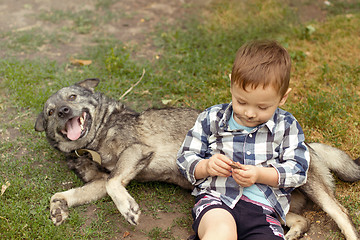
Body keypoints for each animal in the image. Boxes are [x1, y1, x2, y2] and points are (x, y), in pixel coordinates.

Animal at [34, 79, 360, 240]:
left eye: (73, 98)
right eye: (50, 112)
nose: (63, 112)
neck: (92, 143)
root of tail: (308, 145)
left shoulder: (137, 152)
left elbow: (116, 184)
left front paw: (128, 208)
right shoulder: (99, 183)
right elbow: (65, 193)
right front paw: (58, 208)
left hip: (313, 189)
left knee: (342, 214)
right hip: (278, 207)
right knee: (301, 220)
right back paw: (292, 234)